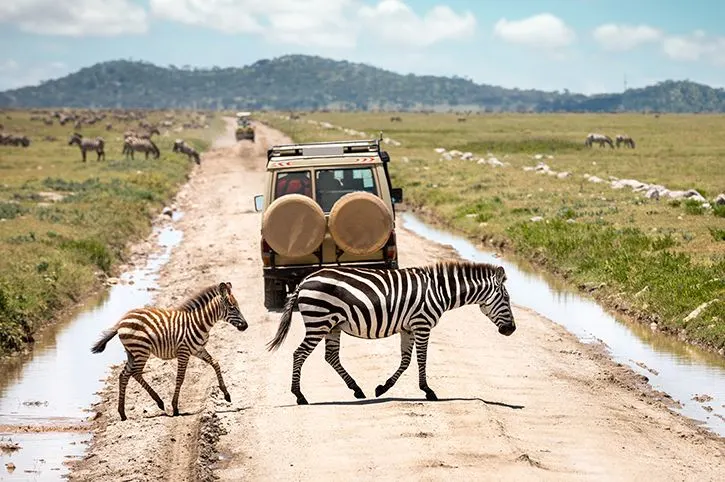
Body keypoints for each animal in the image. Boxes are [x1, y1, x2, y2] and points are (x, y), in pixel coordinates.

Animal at [90, 281, 248, 421]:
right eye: (232, 308)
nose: (245, 326)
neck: (200, 323)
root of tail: (122, 321)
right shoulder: (184, 351)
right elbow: (180, 378)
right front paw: (175, 407)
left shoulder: (198, 349)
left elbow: (215, 363)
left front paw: (226, 394)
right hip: (141, 350)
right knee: (135, 373)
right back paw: (159, 402)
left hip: (132, 353)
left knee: (124, 375)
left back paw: (123, 413)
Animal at [266, 261, 516, 405]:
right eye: (506, 298)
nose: (511, 329)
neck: (439, 291)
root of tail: (304, 281)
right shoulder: (422, 324)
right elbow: (421, 359)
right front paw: (428, 391)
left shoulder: (408, 328)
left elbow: (406, 360)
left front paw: (382, 388)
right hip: (319, 321)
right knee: (299, 354)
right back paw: (299, 396)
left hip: (332, 325)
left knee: (331, 357)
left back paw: (357, 390)